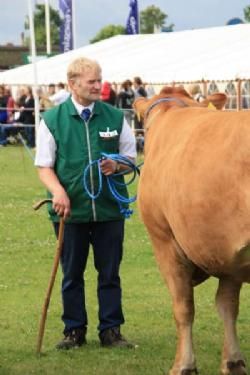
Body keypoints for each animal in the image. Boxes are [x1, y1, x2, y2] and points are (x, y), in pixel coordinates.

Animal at [133, 87, 250, 375]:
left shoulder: (164, 241)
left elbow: (183, 306)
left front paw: (183, 364)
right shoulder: (225, 249)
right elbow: (227, 305)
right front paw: (233, 361)